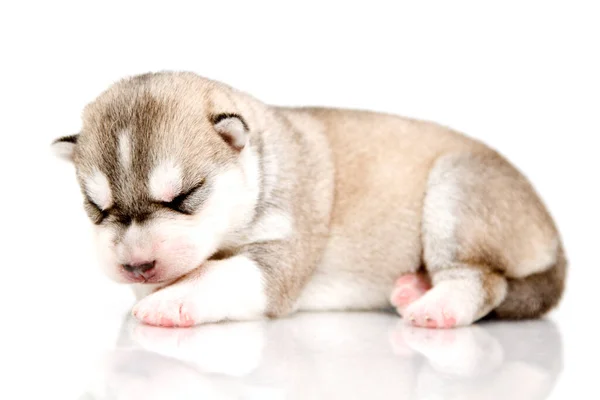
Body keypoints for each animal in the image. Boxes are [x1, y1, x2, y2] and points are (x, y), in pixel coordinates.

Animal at [52, 72, 568, 328]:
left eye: (185, 196)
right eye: (97, 208)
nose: (136, 265)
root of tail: (555, 238)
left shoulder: (279, 253)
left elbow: (220, 273)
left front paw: (171, 301)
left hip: (456, 190)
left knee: (482, 281)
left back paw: (437, 307)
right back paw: (413, 288)